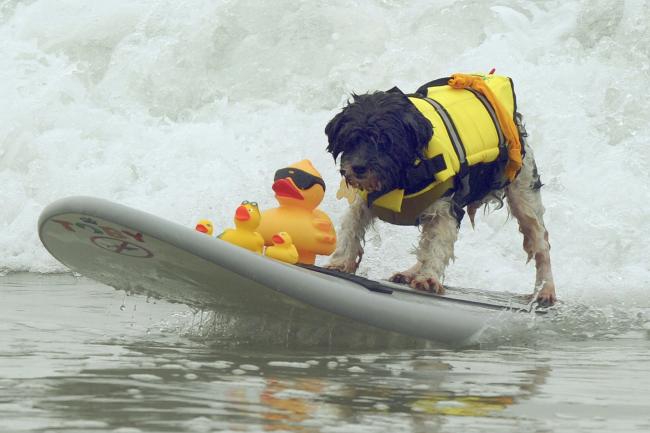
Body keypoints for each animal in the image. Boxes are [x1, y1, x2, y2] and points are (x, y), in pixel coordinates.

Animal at [322, 73, 556, 304]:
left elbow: (437, 244)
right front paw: (340, 262)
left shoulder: (446, 209)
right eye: (351, 139)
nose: (358, 168)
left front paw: (428, 278)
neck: (401, 179)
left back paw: (546, 290)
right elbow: (351, 226)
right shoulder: (365, 202)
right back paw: (409, 273)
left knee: (540, 241)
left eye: (385, 141)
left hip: (523, 192)